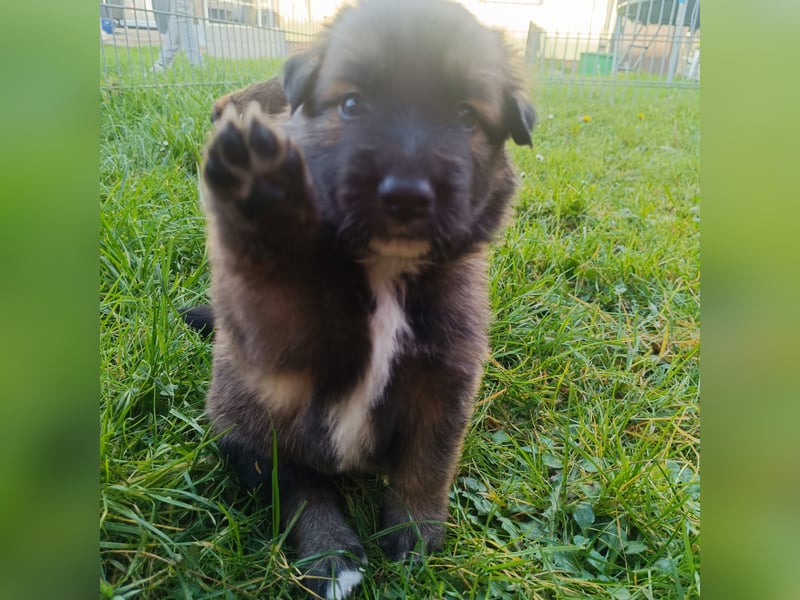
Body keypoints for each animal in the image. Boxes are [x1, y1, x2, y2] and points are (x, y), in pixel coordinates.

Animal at [191, 2, 536, 596]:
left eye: (466, 117)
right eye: (351, 104)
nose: (406, 193)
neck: (384, 273)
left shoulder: (445, 383)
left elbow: (427, 465)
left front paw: (415, 535)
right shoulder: (277, 361)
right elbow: (272, 289)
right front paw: (264, 193)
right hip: (246, 428)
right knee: (301, 487)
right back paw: (334, 556)